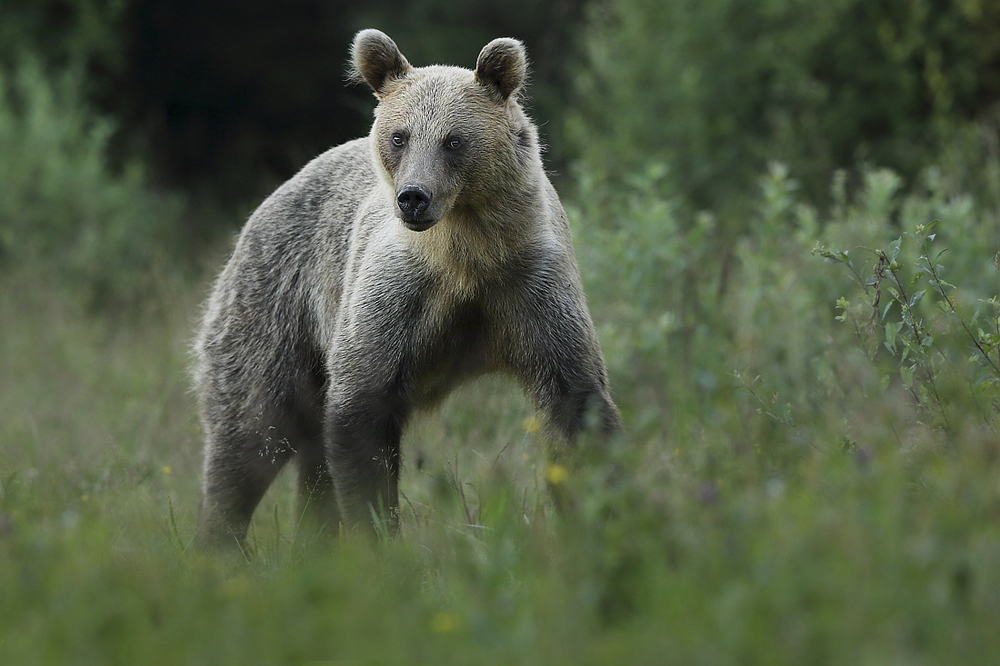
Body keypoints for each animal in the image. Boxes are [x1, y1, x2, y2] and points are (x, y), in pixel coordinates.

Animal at [191, 28, 620, 548]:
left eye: (454, 140)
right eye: (400, 136)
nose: (414, 197)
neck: (466, 255)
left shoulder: (530, 287)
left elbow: (575, 404)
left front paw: (599, 517)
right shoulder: (396, 297)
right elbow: (361, 414)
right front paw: (377, 534)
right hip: (275, 307)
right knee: (249, 431)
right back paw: (220, 541)